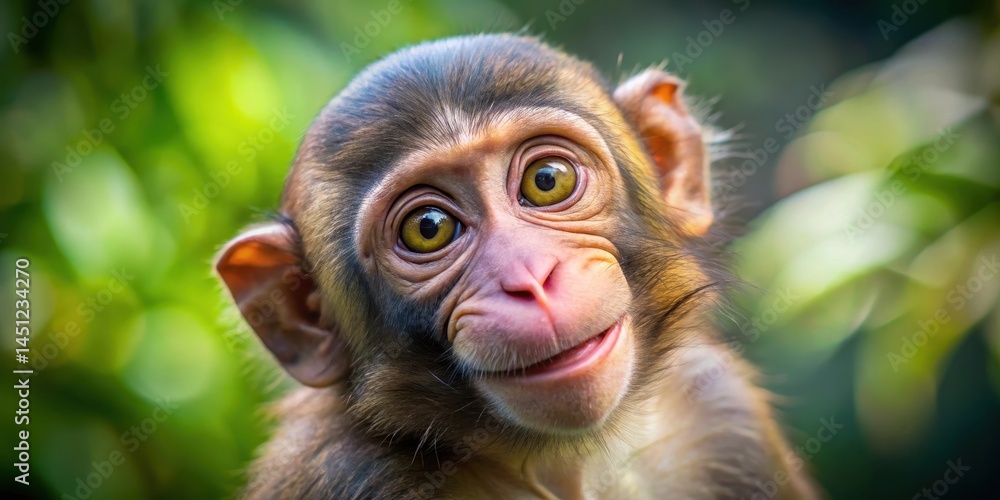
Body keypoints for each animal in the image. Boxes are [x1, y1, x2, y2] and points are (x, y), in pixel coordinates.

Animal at [215, 34, 819, 499]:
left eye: (546, 180)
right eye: (428, 228)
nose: (530, 278)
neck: (569, 467)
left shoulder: (722, 414)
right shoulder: (347, 474)